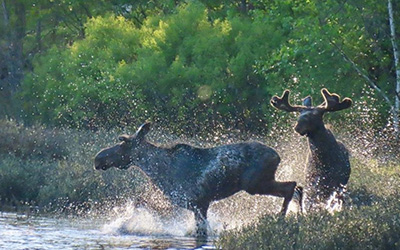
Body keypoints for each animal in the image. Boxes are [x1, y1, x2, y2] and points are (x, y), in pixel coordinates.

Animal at [94, 123, 296, 236]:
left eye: (123, 143)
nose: (98, 158)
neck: (158, 171)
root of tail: (277, 156)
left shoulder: (199, 203)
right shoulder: (187, 204)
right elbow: (139, 204)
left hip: (256, 184)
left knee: (291, 186)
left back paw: (280, 219)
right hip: (261, 183)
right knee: (295, 187)